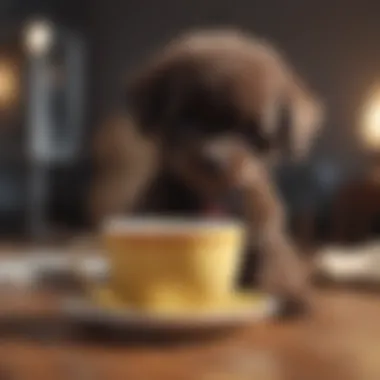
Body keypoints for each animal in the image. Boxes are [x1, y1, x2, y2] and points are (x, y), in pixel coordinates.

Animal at [90, 28, 324, 310]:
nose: (214, 159)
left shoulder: (265, 230)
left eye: (251, 133)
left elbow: (273, 259)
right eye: (188, 119)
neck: (212, 199)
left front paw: (288, 292)